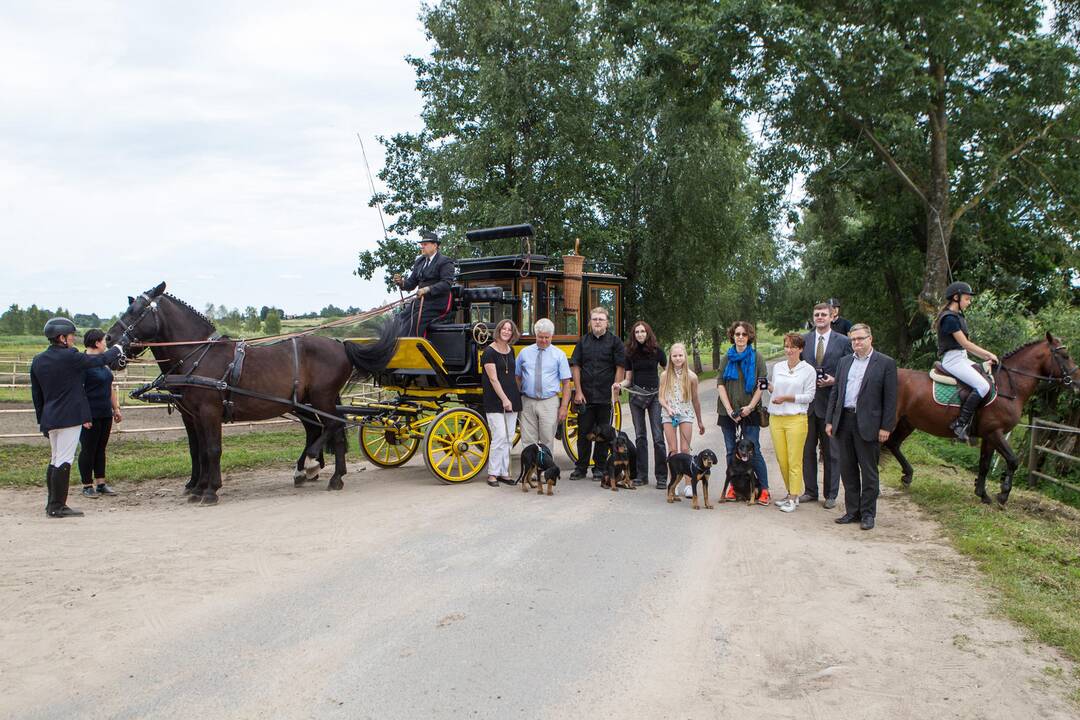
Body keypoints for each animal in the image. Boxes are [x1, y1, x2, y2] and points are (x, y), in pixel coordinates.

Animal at [106, 282, 397, 507]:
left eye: (135, 311)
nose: (108, 340)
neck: (200, 354)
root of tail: (341, 345)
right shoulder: (193, 414)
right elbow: (198, 450)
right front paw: (197, 487)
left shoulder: (209, 411)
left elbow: (211, 449)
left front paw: (210, 491)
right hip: (307, 401)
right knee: (324, 430)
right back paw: (319, 472)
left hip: (322, 398)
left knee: (332, 427)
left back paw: (321, 468)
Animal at [885, 334, 1080, 505]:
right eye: (1065, 356)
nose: (1078, 383)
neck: (1009, 386)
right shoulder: (995, 432)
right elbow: (1012, 460)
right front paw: (1003, 494)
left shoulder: (988, 436)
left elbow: (985, 464)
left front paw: (983, 494)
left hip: (907, 423)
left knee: (893, 444)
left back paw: (908, 475)